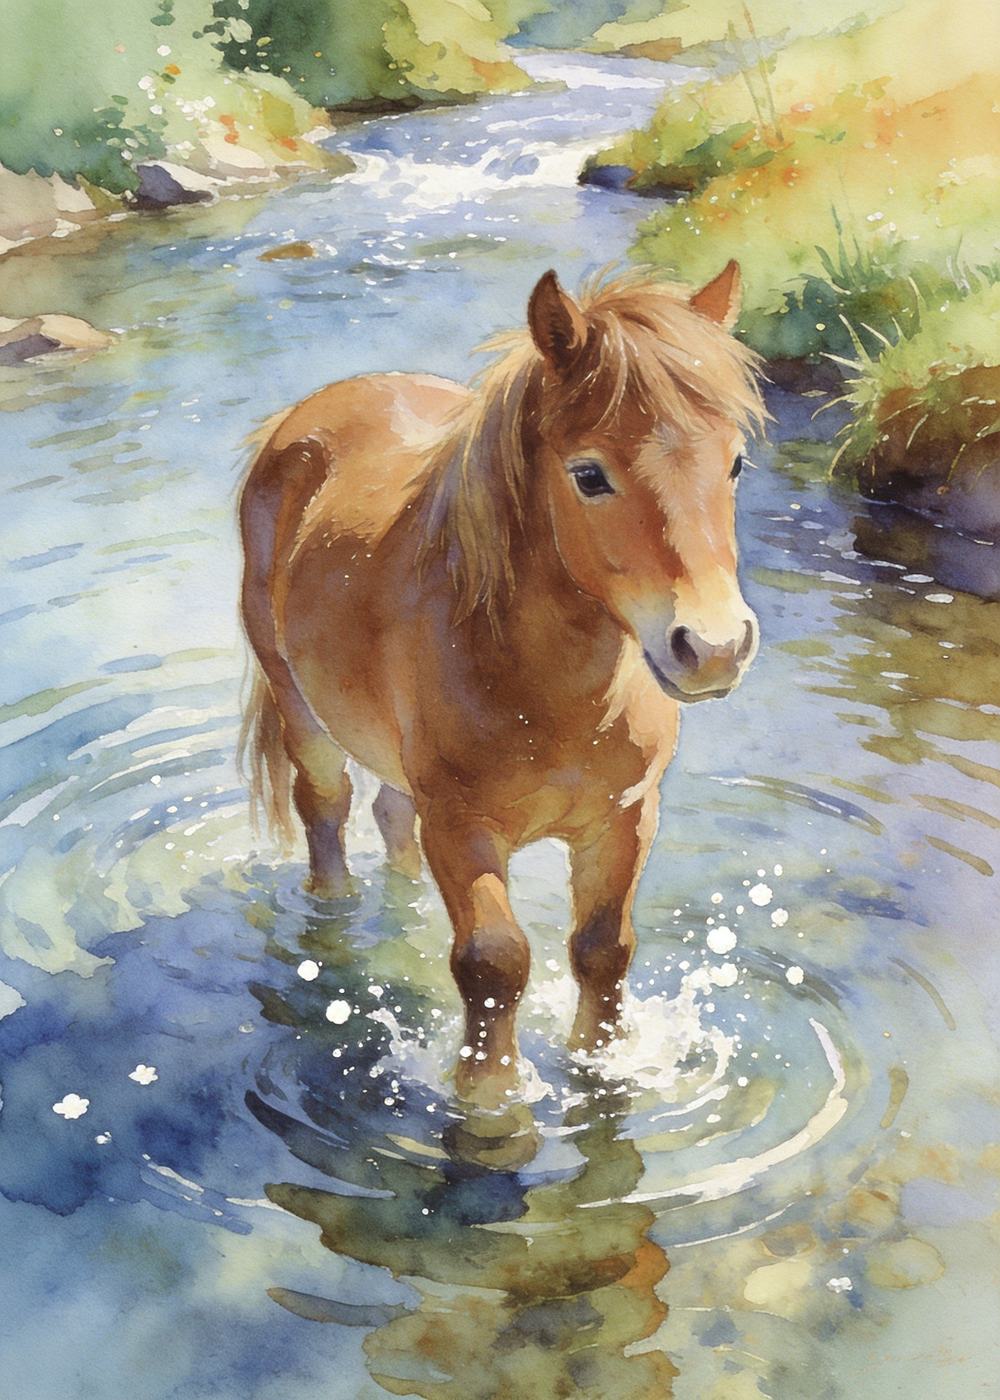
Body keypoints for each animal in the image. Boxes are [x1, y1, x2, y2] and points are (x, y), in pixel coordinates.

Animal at [238, 261, 765, 1104]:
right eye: (589, 475)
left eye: (735, 463)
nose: (714, 647)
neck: (556, 695)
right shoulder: (463, 828)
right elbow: (493, 963)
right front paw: (489, 1099)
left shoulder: (626, 818)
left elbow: (603, 950)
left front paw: (600, 1065)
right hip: (300, 706)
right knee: (326, 808)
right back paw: (338, 927)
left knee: (390, 816)